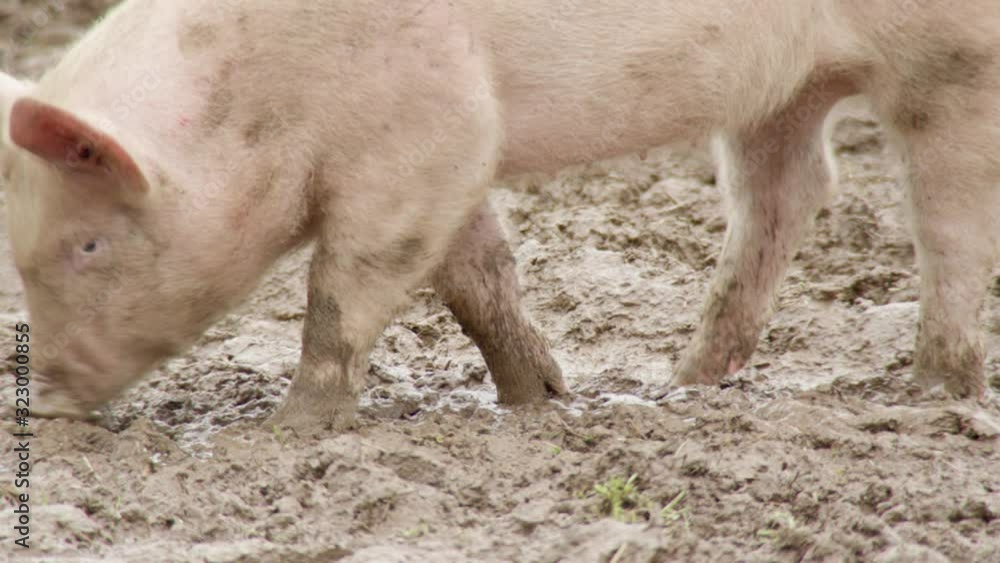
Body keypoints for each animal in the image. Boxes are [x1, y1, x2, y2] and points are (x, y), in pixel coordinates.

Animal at [1, 0, 997, 430]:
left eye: (89, 242)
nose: (39, 398)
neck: (254, 94)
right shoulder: (452, 157)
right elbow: (475, 277)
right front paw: (543, 399)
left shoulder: (422, 139)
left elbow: (344, 286)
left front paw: (291, 426)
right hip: (779, 90)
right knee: (787, 188)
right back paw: (684, 382)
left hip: (950, 55)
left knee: (947, 205)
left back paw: (936, 386)